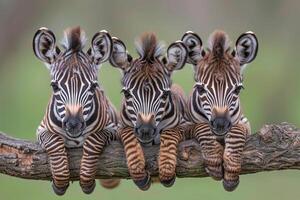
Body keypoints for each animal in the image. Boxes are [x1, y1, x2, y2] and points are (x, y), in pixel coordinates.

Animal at [33, 27, 119, 195]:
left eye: (93, 86)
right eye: (54, 86)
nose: (74, 124)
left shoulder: (113, 129)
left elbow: (93, 141)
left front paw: (86, 182)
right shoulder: (41, 130)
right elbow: (54, 142)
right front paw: (60, 182)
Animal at [109, 32, 190, 189]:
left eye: (165, 95)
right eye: (126, 94)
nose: (145, 130)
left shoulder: (184, 126)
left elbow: (170, 133)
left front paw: (166, 169)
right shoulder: (120, 128)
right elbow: (129, 135)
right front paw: (138, 172)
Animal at [182, 30, 258, 191]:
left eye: (237, 89)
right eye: (200, 89)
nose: (220, 124)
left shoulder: (244, 122)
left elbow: (237, 133)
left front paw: (231, 170)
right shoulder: (183, 125)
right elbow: (202, 127)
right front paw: (214, 160)